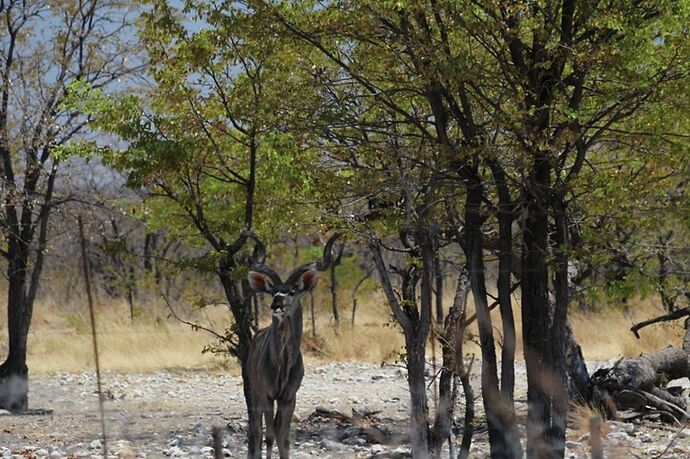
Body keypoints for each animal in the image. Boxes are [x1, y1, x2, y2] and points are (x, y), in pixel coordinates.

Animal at [245, 235, 338, 458]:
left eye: (292, 291)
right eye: (272, 292)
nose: (276, 305)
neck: (283, 364)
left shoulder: (289, 397)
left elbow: (284, 437)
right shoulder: (267, 394)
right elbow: (269, 436)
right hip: (255, 394)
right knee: (257, 431)